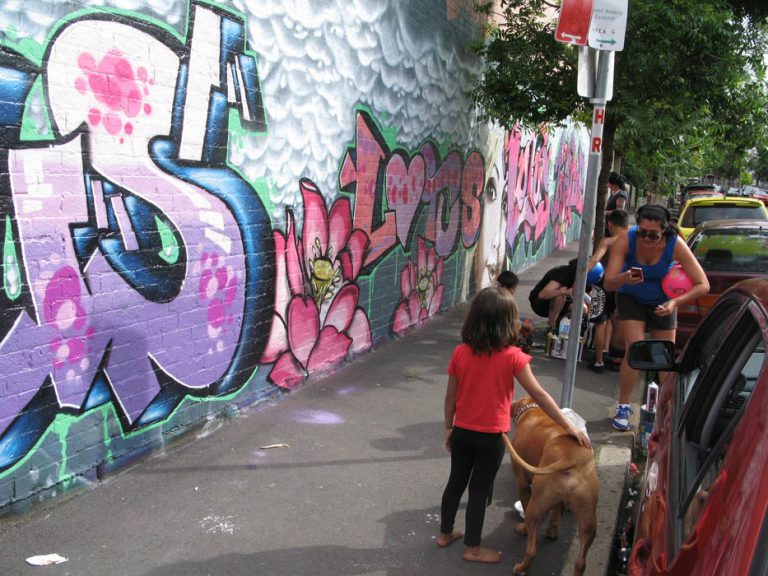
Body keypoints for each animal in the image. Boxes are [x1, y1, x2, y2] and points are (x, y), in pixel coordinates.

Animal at [502, 397, 599, 576]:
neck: (533, 411)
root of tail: (569, 458)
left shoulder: (522, 482)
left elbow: (524, 502)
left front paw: (524, 529)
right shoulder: (557, 499)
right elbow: (555, 512)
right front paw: (552, 532)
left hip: (535, 506)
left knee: (531, 550)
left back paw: (521, 568)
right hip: (588, 517)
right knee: (581, 562)